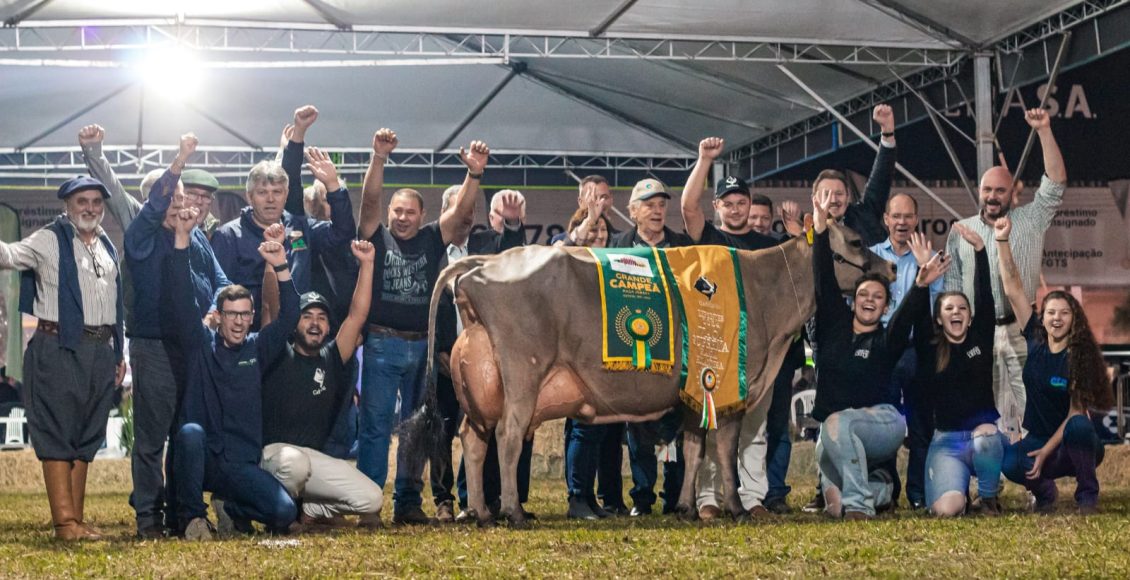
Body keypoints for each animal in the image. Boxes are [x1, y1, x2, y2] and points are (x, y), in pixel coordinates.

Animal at [420, 222, 894, 529]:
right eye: (855, 241)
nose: (889, 269)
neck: (766, 290)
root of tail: (484, 264)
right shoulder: (730, 386)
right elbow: (725, 452)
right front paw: (736, 507)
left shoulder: (698, 386)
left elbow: (694, 449)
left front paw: (686, 507)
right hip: (522, 375)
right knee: (508, 437)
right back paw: (514, 512)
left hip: (483, 389)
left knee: (473, 440)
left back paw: (482, 512)